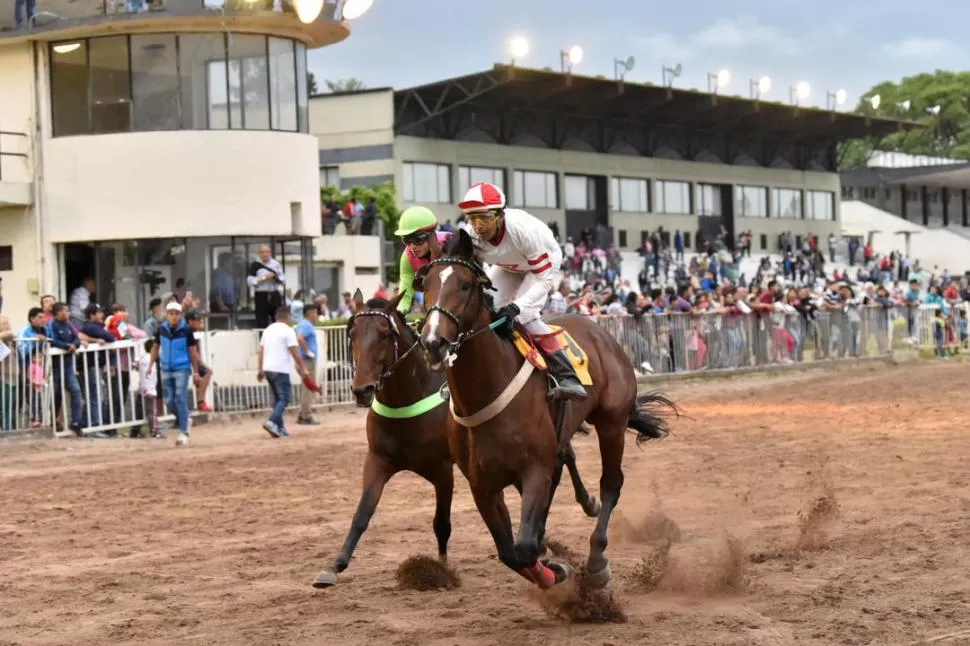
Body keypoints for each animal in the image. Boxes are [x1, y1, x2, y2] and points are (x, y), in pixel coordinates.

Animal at [312, 292, 596, 588]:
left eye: (384, 334)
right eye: (352, 334)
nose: (361, 390)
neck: (408, 397)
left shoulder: (441, 469)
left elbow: (441, 522)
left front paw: (442, 567)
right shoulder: (378, 460)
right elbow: (362, 514)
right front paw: (335, 565)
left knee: (563, 461)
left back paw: (585, 504)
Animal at [416, 233, 672, 592]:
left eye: (465, 285)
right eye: (424, 284)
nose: (433, 343)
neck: (485, 393)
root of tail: (602, 333)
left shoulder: (535, 469)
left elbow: (523, 548)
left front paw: (558, 570)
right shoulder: (482, 485)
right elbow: (510, 552)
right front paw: (550, 562)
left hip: (612, 422)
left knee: (611, 483)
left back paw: (597, 561)